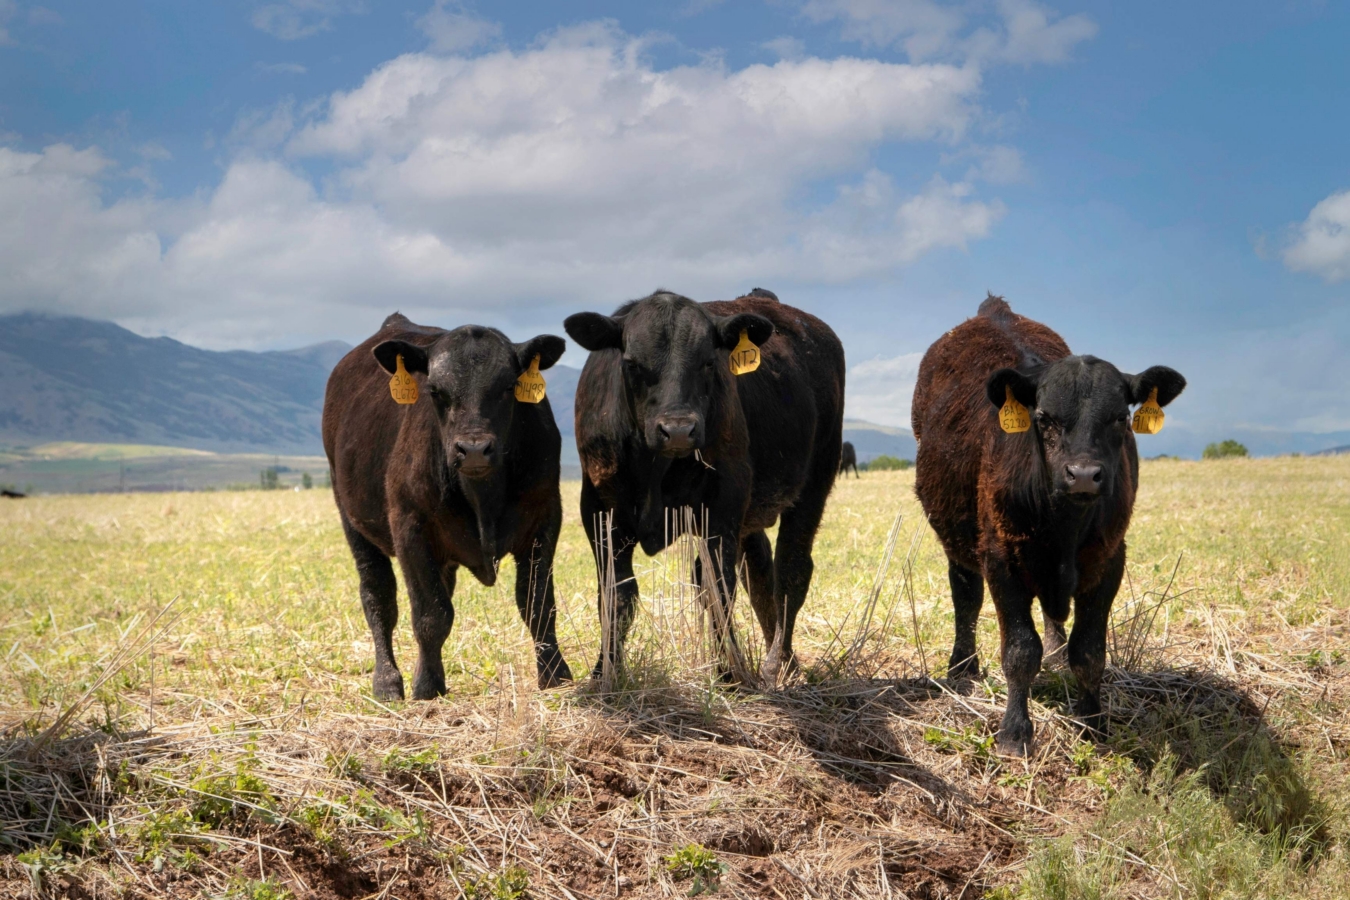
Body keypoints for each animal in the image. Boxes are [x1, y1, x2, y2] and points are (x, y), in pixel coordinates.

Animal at [323, 313, 572, 701]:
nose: (473, 449)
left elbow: (538, 605)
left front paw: (555, 676)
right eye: (434, 391)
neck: (483, 498)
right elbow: (431, 615)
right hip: (352, 519)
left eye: (508, 386)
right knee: (378, 597)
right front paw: (427, 686)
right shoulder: (410, 525)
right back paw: (387, 681)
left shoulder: (545, 516)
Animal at [564, 288, 845, 681]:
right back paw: (785, 662)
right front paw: (604, 672)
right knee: (760, 572)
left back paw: (778, 662)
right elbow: (616, 594)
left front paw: (730, 673)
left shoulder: (723, 502)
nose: (678, 429)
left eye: (709, 362)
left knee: (791, 569)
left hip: (815, 480)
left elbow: (718, 587)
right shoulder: (599, 509)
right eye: (632, 363)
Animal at [912, 295, 1185, 754]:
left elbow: (1089, 652)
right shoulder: (1001, 559)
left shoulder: (1109, 560)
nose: (1084, 475)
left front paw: (1093, 722)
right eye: (1043, 417)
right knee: (965, 598)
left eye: (1119, 417)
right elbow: (1020, 651)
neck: (1065, 525)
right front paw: (1014, 732)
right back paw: (962, 669)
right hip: (958, 538)